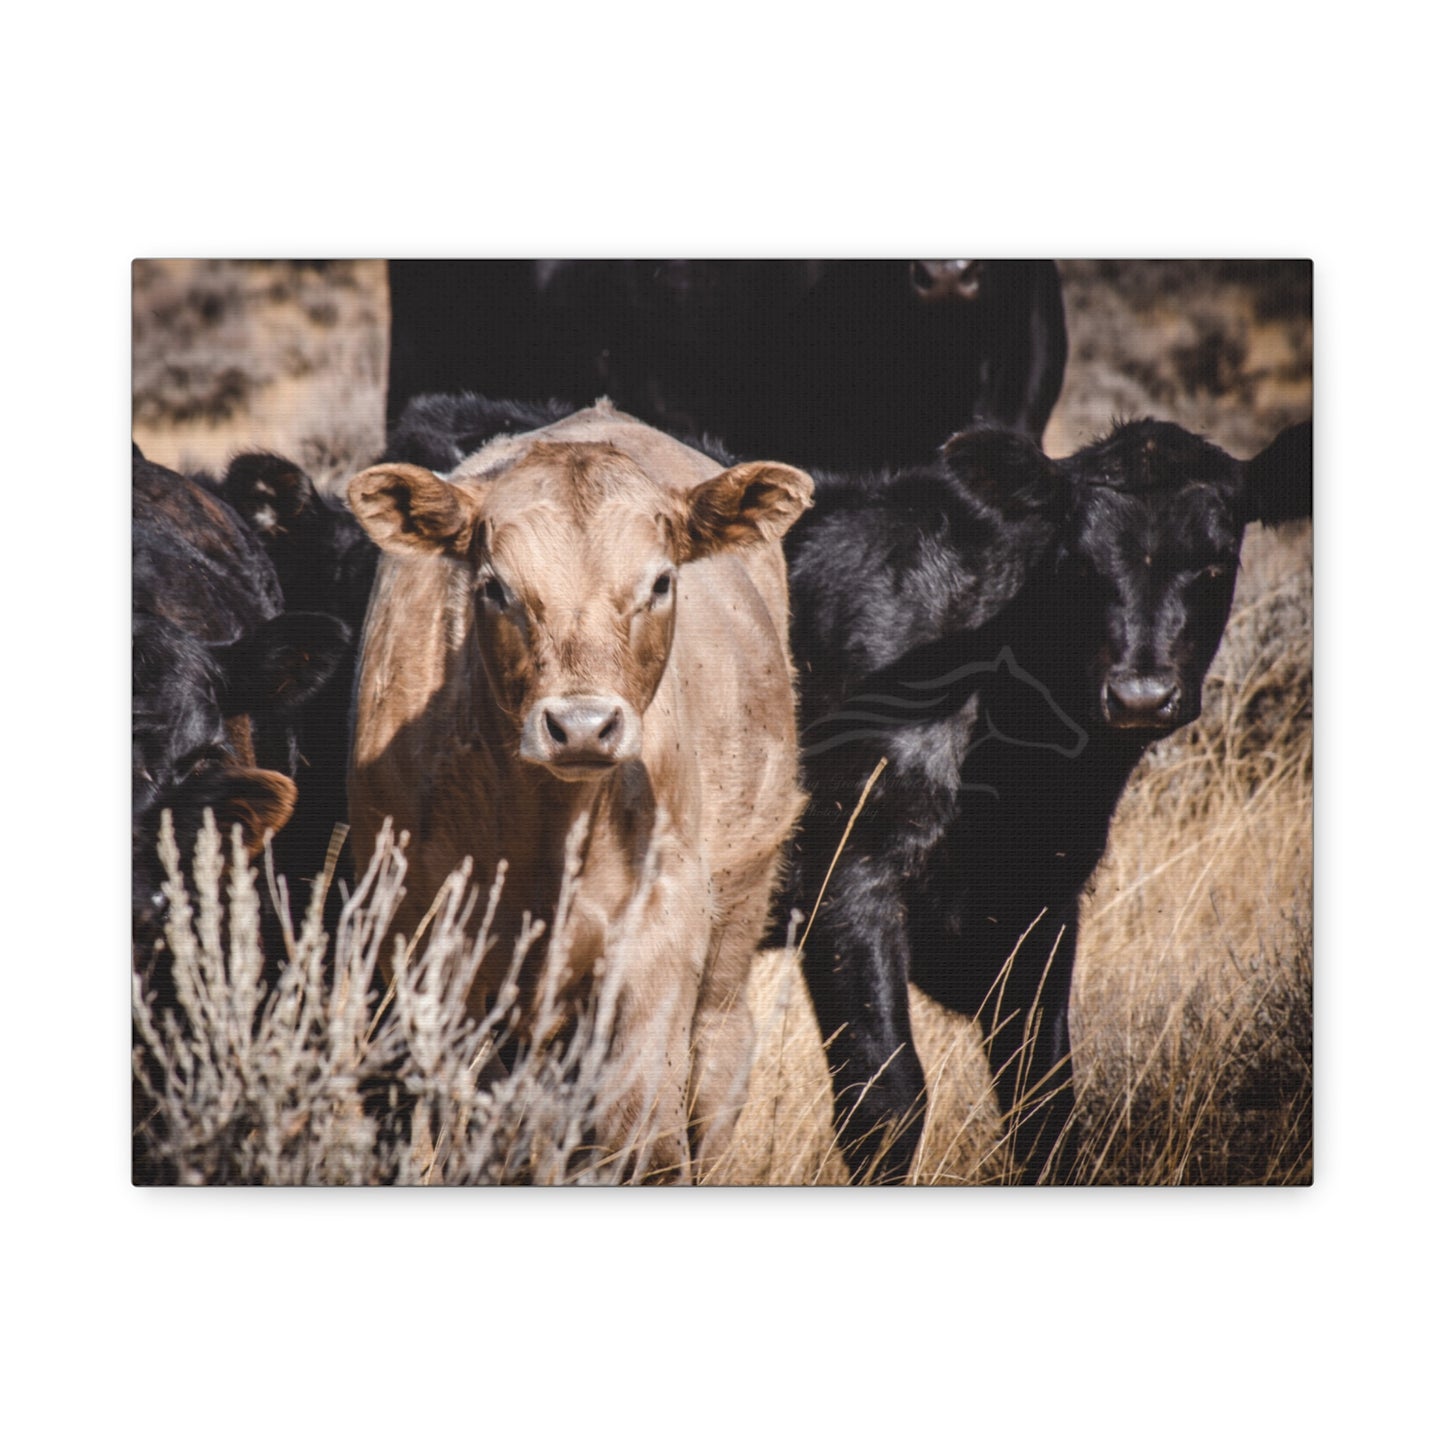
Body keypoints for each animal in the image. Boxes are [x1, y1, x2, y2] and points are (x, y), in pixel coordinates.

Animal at [344, 401, 813, 1180]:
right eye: (495, 587)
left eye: (660, 583)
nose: (583, 726)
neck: (546, 836)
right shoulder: (431, 948)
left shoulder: (657, 939)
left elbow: (640, 1136)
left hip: (736, 913)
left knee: (716, 1060)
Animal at [781, 417, 1313, 1183]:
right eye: (1079, 563)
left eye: (1217, 562)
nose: (1140, 695)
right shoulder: (845, 874)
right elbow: (885, 1102)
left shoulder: (1044, 896)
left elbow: (1043, 1099)